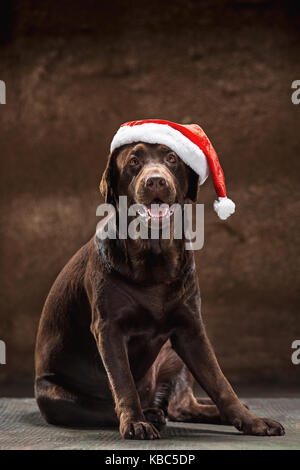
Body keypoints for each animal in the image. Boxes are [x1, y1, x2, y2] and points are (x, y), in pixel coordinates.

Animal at [34, 131, 284, 436]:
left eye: (172, 158)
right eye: (133, 161)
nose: (155, 180)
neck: (154, 256)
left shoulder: (191, 329)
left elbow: (220, 382)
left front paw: (251, 421)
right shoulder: (108, 329)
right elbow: (123, 382)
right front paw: (135, 421)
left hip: (172, 354)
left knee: (182, 406)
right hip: (55, 395)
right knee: (107, 408)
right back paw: (150, 414)